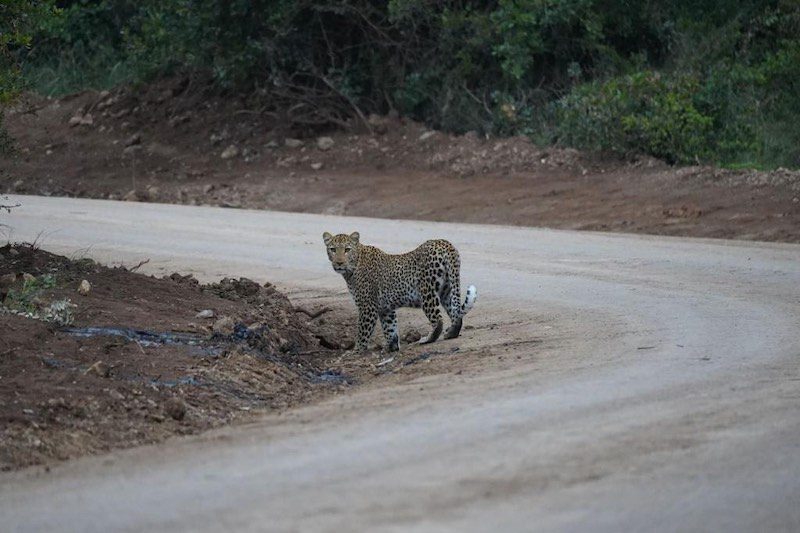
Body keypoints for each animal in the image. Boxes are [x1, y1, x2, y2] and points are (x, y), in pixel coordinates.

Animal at [323, 231, 477, 353]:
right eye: (333, 249)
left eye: (347, 249)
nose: (339, 263)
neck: (352, 268)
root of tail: (444, 243)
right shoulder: (385, 308)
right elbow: (390, 328)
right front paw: (392, 348)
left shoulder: (367, 307)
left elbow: (362, 331)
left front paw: (357, 350)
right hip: (447, 289)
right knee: (456, 314)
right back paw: (450, 333)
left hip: (427, 291)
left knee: (438, 319)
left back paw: (427, 339)